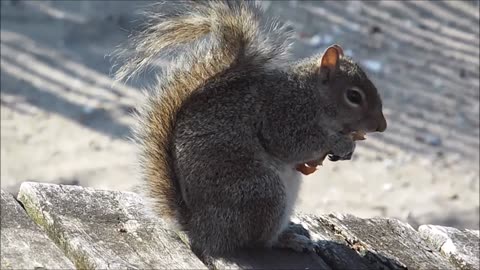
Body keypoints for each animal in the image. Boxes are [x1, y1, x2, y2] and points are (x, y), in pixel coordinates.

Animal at [114, 0, 388, 258]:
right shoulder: (282, 113)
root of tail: (201, 228)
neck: (312, 93)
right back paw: (288, 240)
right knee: (258, 242)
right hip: (263, 192)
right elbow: (292, 143)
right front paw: (340, 143)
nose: (382, 126)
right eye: (354, 96)